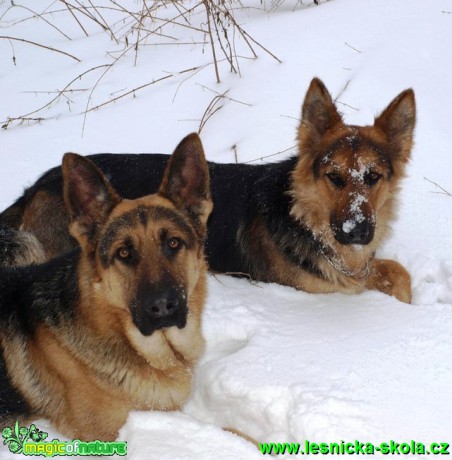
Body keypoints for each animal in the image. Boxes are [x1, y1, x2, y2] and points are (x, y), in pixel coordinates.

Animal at [0, 78, 416, 302]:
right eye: (334, 177)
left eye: (373, 177)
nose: (358, 232)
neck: (302, 218)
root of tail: (37, 186)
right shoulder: (319, 288)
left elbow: (398, 272)